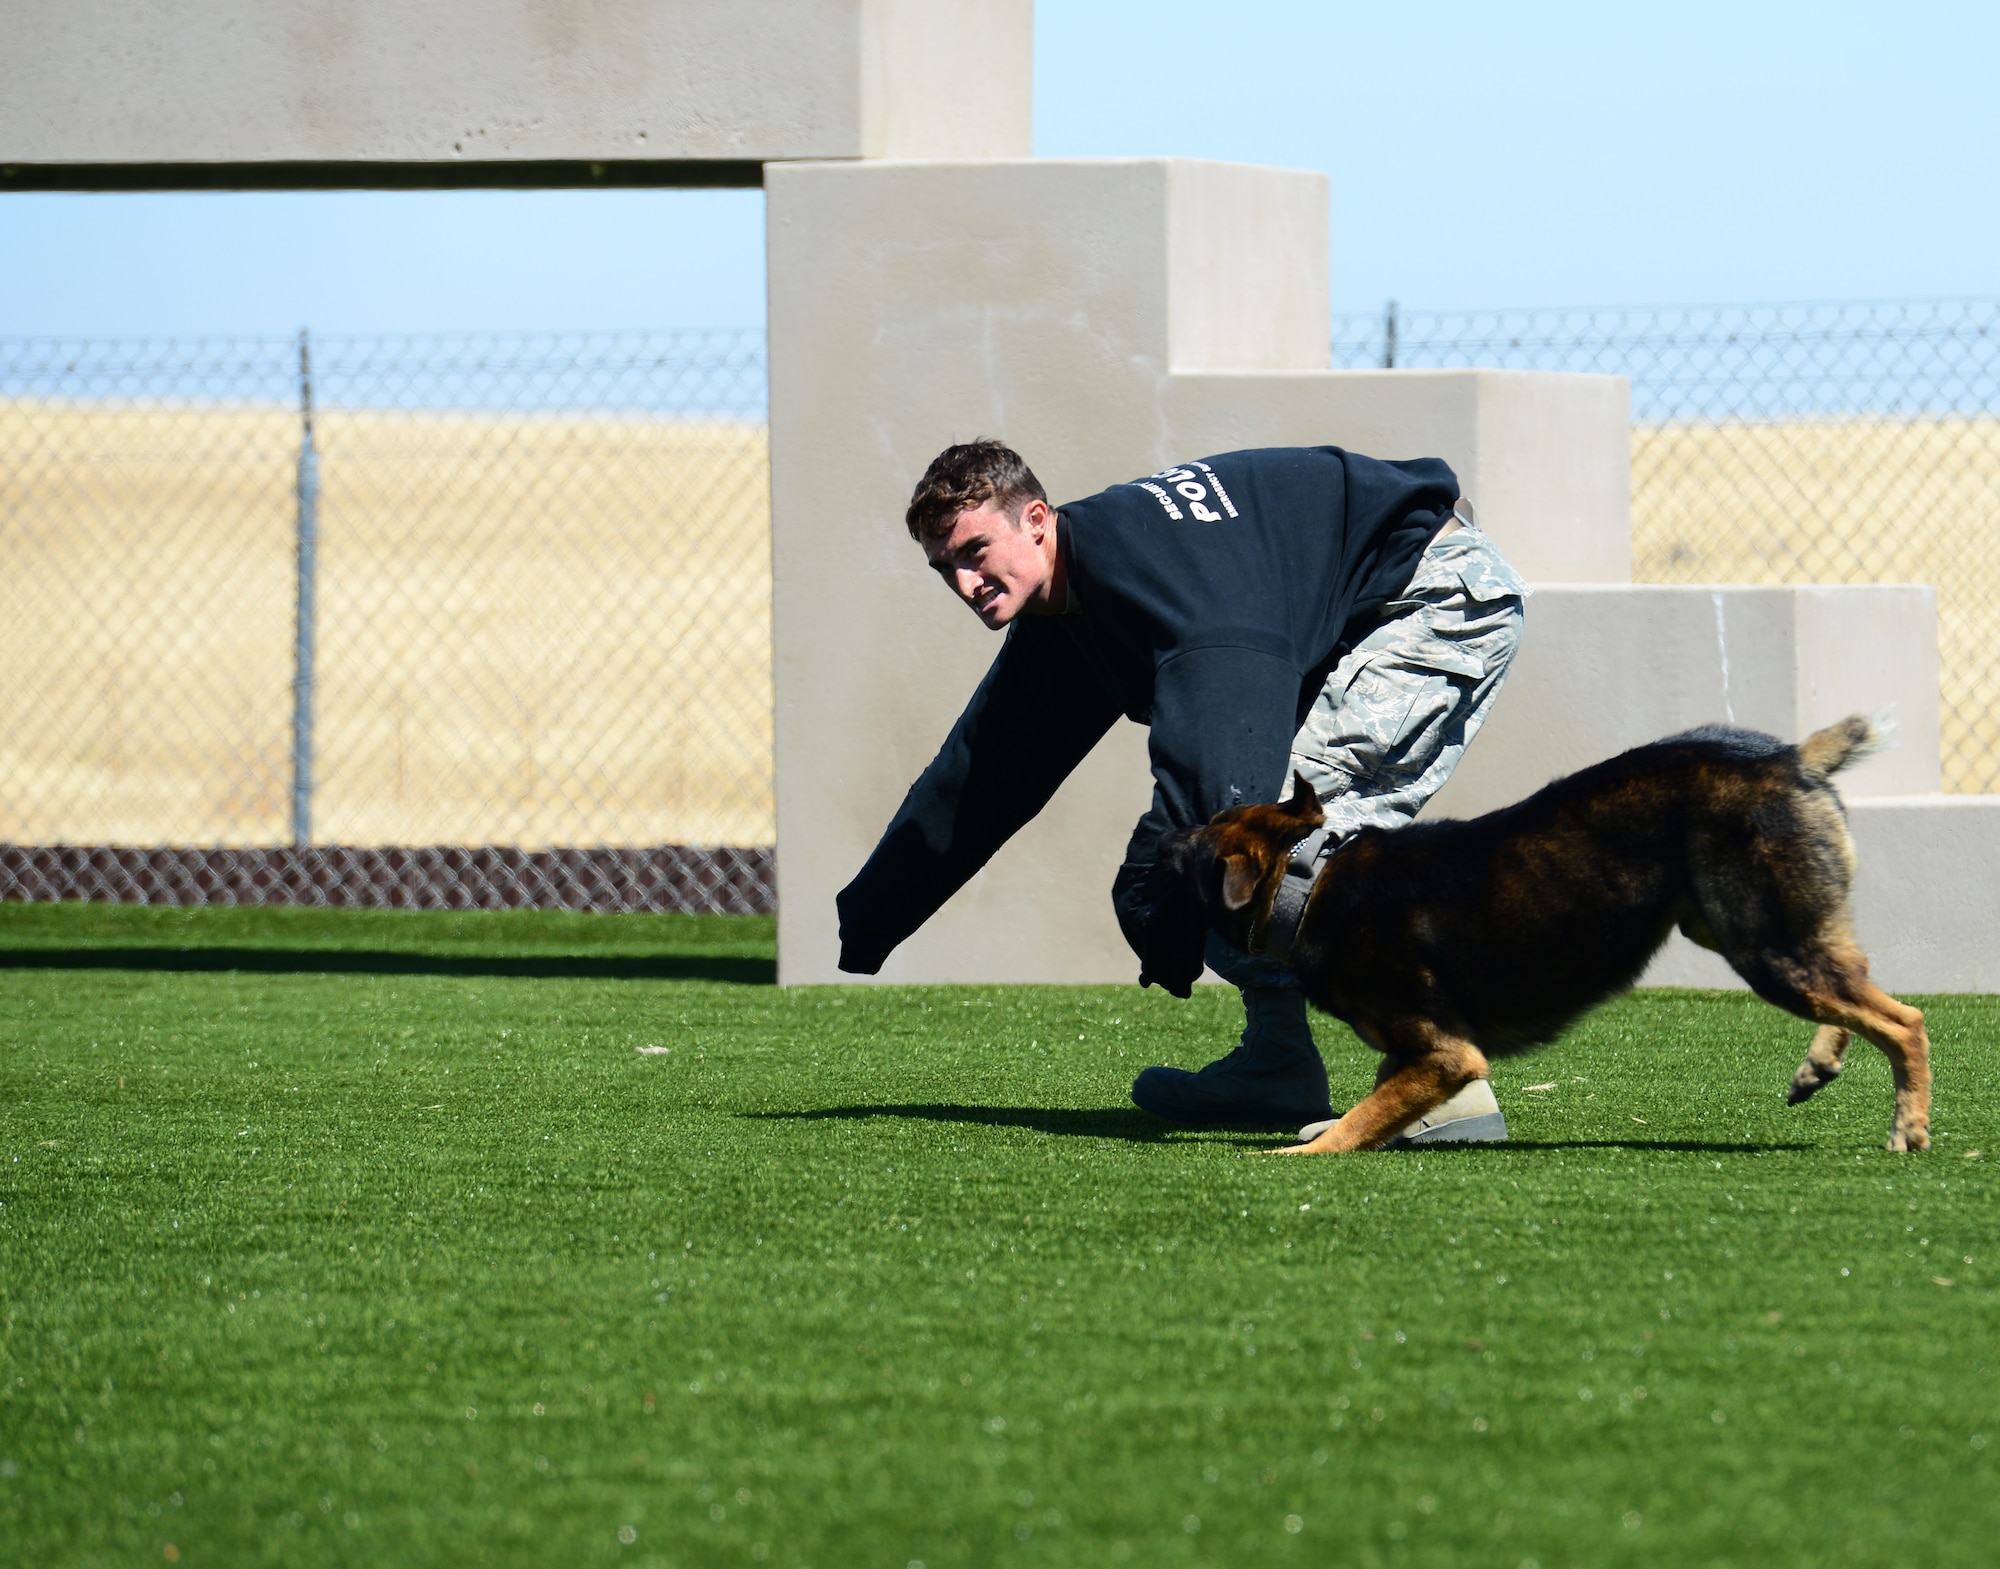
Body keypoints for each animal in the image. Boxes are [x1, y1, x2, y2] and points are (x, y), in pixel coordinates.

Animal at [1152, 720, 1928, 1152]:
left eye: (1196, 843)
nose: (1161, 836)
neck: (1307, 885)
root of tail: (1791, 757)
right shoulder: (1423, 1048)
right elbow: (1379, 1098)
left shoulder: (1448, 1050)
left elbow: (1361, 1116)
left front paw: (1296, 1156)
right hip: (1746, 926)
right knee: (1856, 978)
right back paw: (1821, 1063)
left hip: (1760, 942)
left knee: (1904, 1019)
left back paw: (1909, 1128)